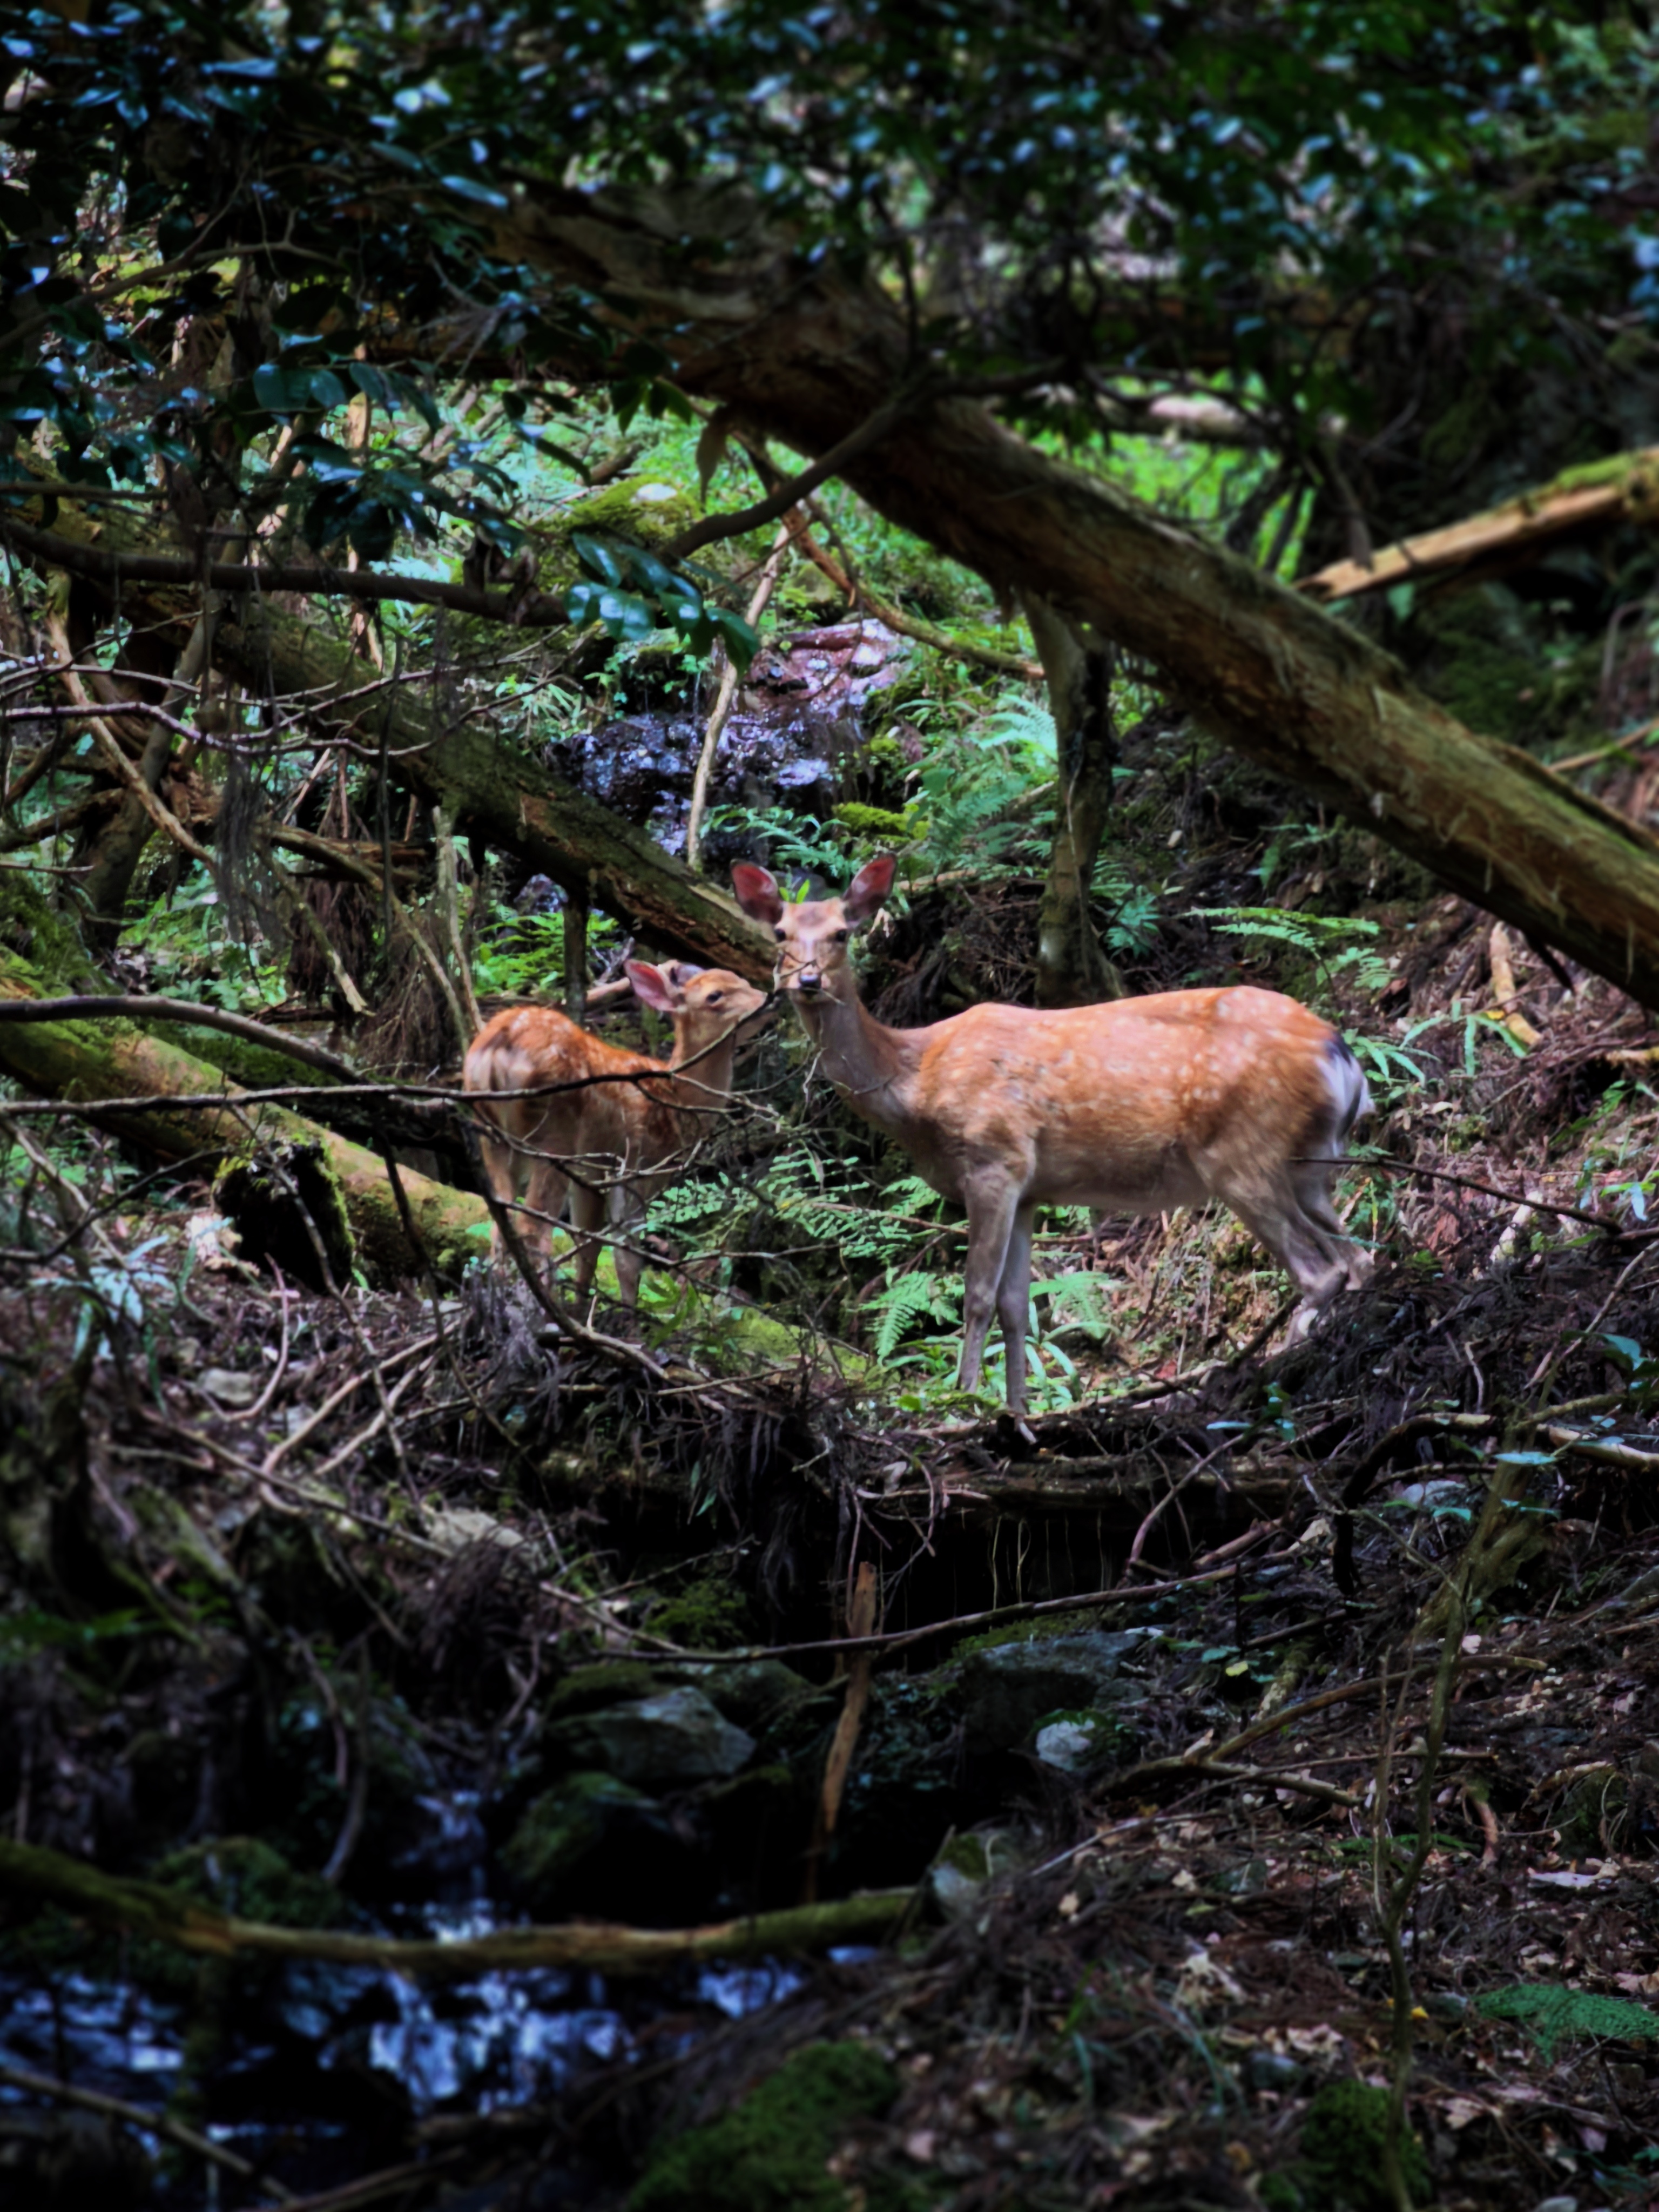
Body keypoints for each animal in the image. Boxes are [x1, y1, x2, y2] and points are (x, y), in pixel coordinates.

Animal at [462, 960, 767, 1308]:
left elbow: (588, 1242)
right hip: (554, 1137)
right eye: (715, 995)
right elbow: (626, 1255)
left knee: (501, 1222)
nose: (767, 999)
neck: (676, 1101)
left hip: (491, 1133)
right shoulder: (636, 1165)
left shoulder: (594, 1173)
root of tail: (499, 1042)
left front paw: (583, 1306)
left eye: (743, 980)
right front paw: (628, 1314)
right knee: (532, 1225)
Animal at [732, 855, 1373, 1412]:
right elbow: (1016, 1305)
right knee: (1359, 1256)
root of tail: (1341, 1056)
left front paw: (962, 1401)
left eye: (843, 934)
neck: (915, 1082)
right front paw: (1015, 1410)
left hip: (1240, 1153)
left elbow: (978, 1297)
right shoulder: (1031, 1190)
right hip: (1311, 1166)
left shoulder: (994, 1159)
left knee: (1320, 1270)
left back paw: (1269, 1375)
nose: (808, 980)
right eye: (781, 933)